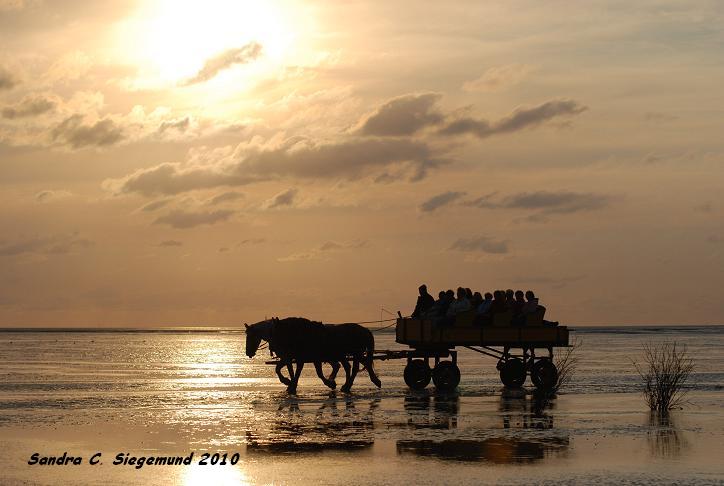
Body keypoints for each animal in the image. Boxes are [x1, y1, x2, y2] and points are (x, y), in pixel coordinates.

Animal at [246, 318, 382, 392]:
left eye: (250, 336)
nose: (248, 352)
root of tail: (364, 330)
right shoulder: (291, 358)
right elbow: (283, 369)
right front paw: (290, 384)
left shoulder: (300, 358)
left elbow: (310, 373)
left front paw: (290, 384)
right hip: (347, 354)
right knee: (354, 365)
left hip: (354, 353)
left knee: (354, 367)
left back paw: (348, 385)